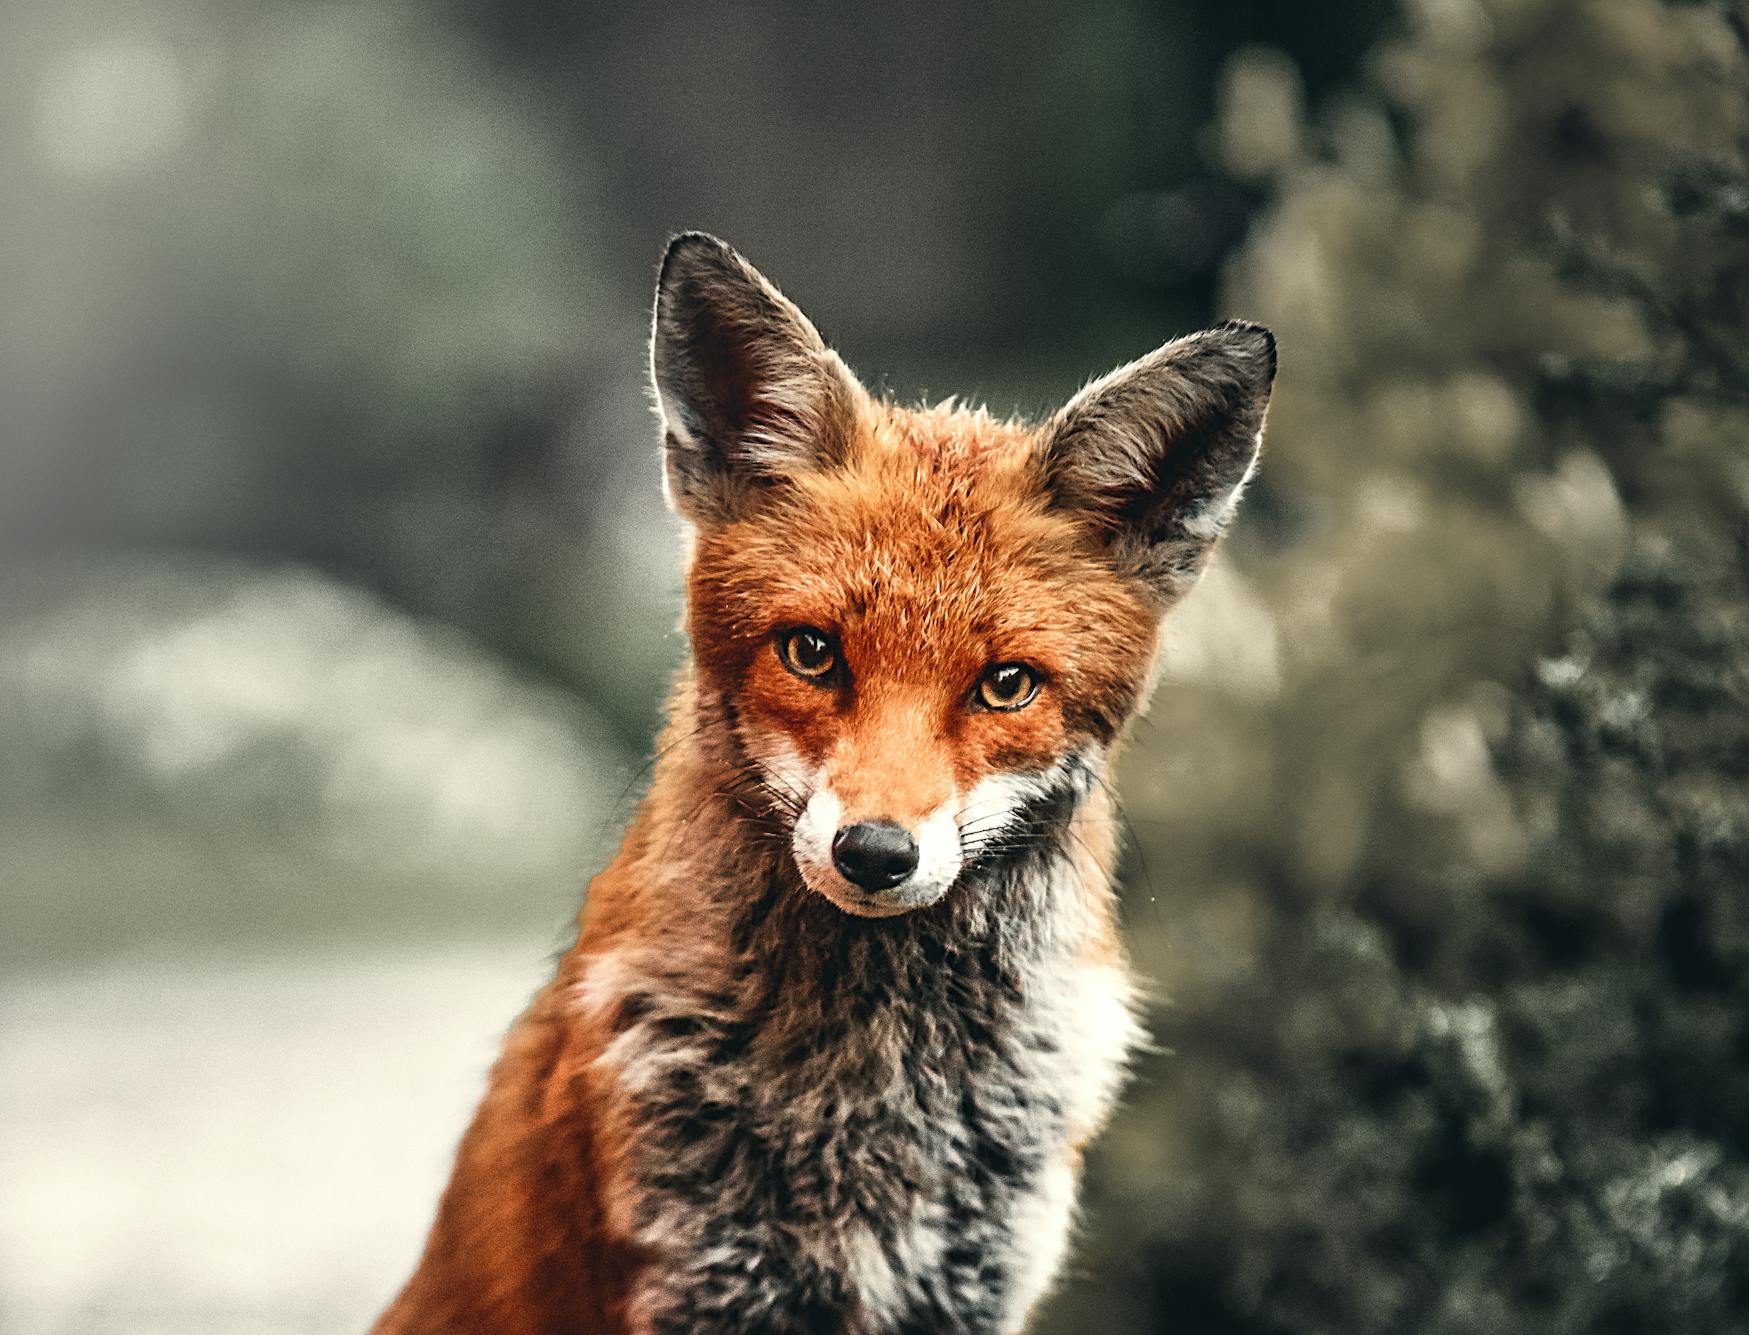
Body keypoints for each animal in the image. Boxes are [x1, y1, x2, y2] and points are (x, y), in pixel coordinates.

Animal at [372, 233, 1276, 1335]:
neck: (878, 1094)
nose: (875, 854)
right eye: (811, 653)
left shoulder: (973, 1284)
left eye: (1006, 684)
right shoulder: (699, 1277)